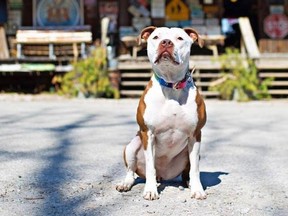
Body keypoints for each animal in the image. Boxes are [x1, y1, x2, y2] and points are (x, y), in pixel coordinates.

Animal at [116, 26, 206, 200]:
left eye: (179, 38)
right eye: (156, 37)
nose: (166, 42)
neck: (171, 85)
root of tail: (163, 176)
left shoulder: (195, 134)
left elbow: (195, 169)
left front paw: (198, 190)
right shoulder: (148, 133)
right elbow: (151, 165)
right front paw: (150, 190)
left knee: (187, 172)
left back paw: (189, 183)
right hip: (132, 145)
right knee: (132, 170)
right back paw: (126, 183)